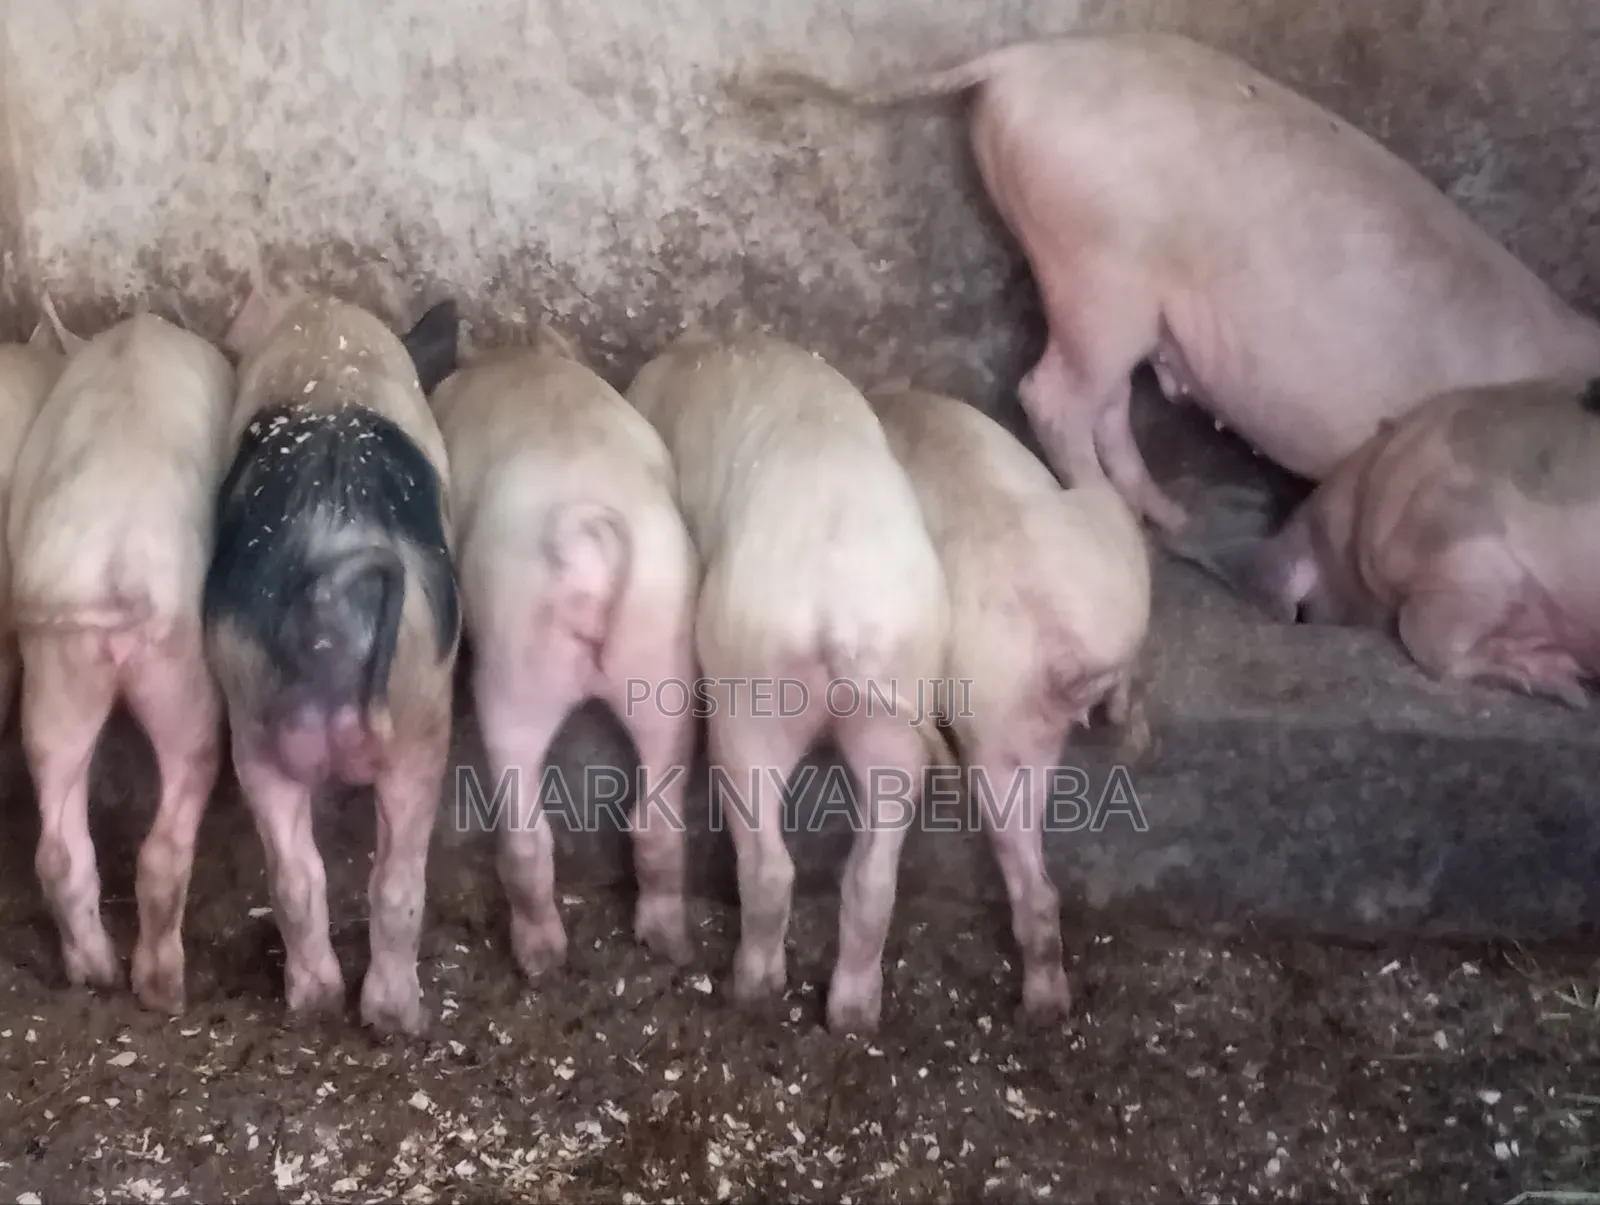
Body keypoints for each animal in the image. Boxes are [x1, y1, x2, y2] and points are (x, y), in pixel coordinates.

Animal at [9, 302, 234, 1014]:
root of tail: (115, 573)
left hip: (56, 672)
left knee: (56, 845)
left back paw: (96, 973)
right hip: (184, 671)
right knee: (167, 837)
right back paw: (165, 991)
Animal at [203, 280, 461, 1036]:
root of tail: (325, 586)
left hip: (252, 712)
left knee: (297, 876)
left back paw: (314, 1002)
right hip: (418, 711)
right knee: (397, 879)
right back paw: (400, 1017)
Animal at [428, 327, 698, 978]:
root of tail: (587, 546)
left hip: (517, 656)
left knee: (526, 829)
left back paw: (541, 960)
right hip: (661, 658)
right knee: (655, 822)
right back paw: (667, 943)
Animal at [624, 333, 953, 1033]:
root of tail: (837, 617)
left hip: (751, 693)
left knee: (769, 861)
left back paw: (749, 989)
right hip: (900, 700)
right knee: (873, 874)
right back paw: (853, 1016)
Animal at [731, 32, 1600, 536]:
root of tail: (1025, 58)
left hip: (1108, 288)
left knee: (1107, 400)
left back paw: (1167, 515)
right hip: (1098, 262)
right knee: (1053, 394)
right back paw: (1116, 519)